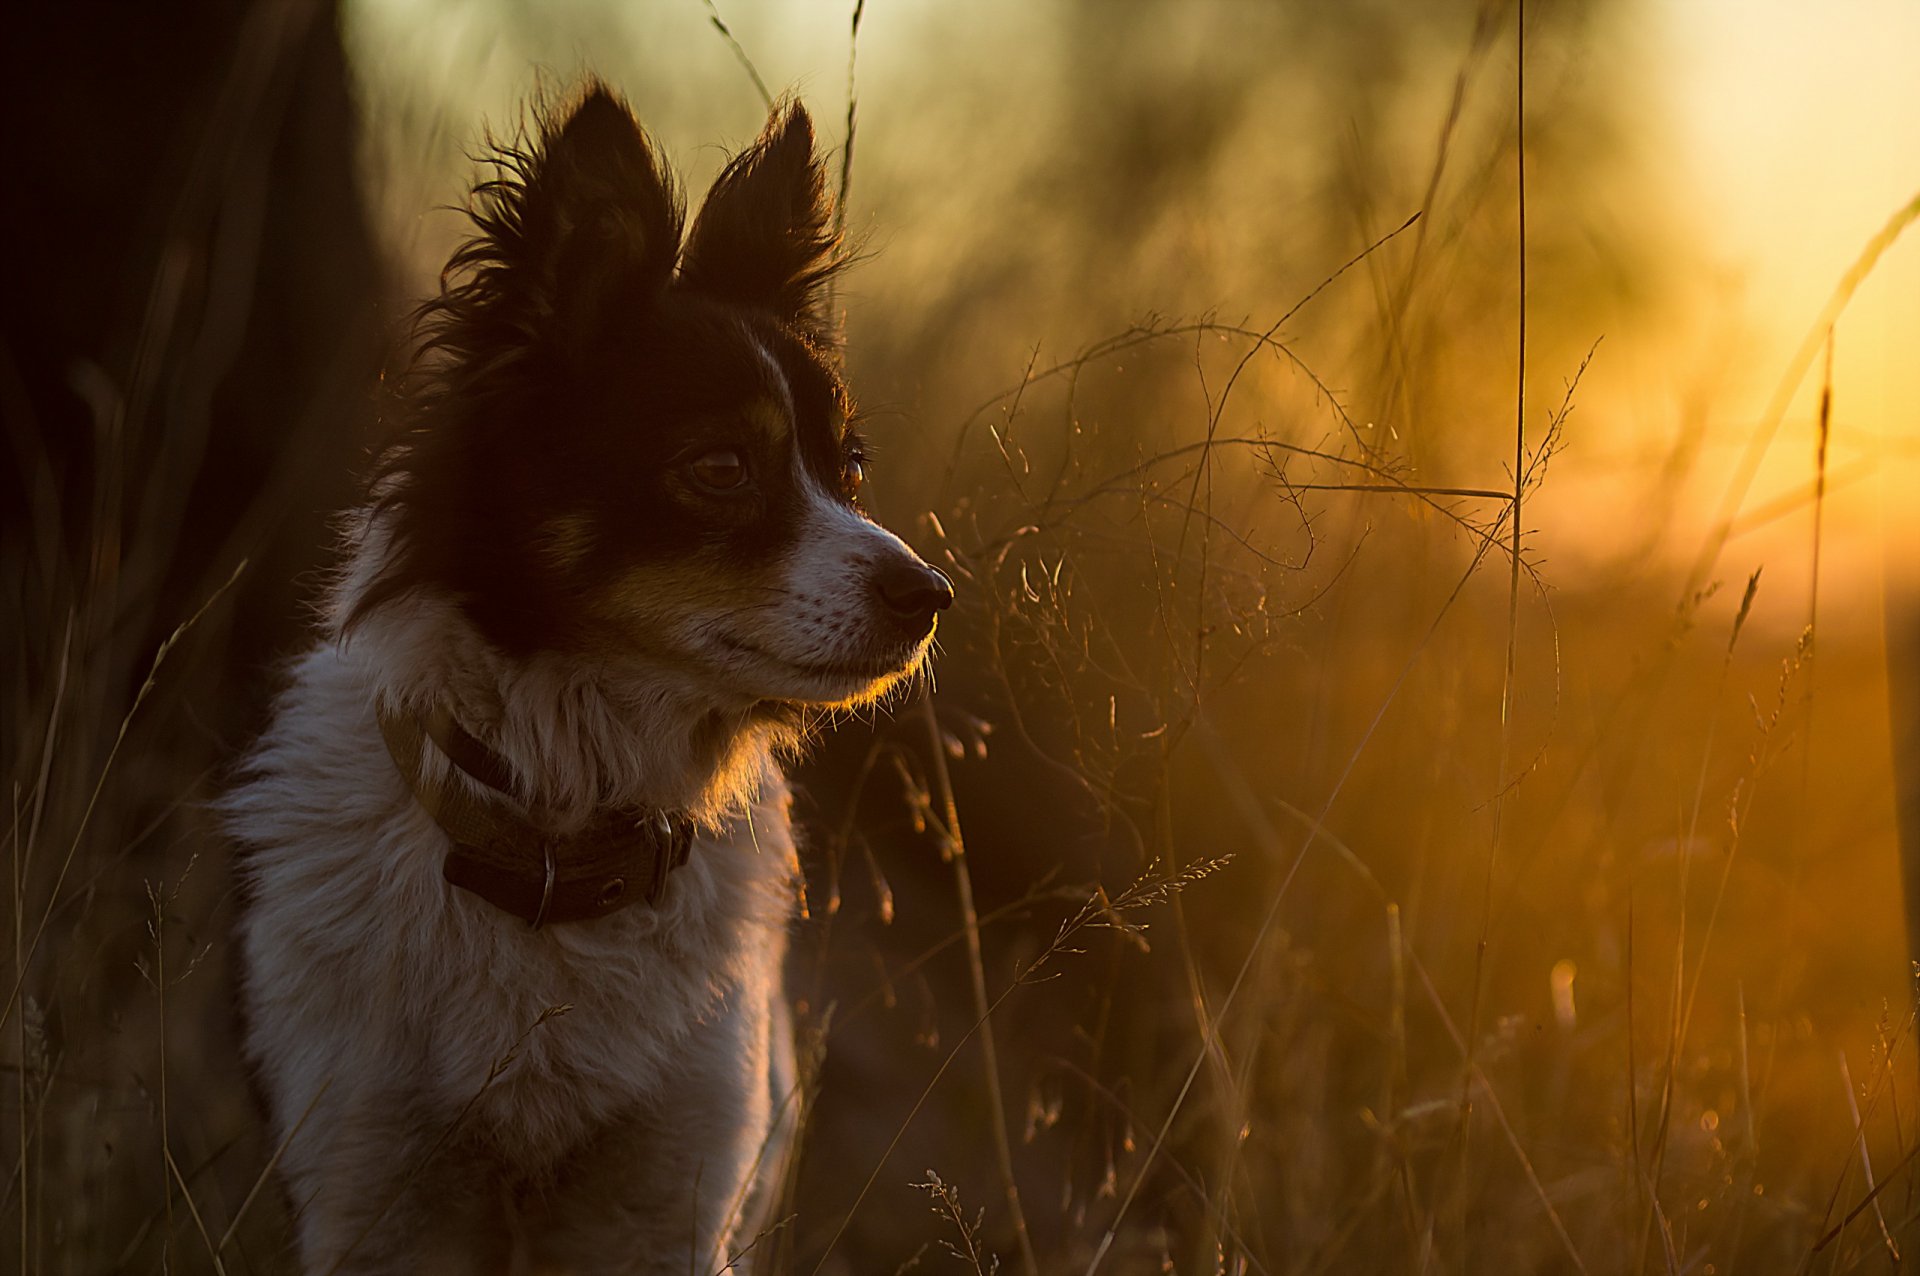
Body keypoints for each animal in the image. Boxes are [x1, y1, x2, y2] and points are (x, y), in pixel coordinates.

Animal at [224, 84, 952, 1266]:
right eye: (720, 468)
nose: (932, 595)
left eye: (847, 468)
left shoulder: (666, 1196)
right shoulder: (369, 1181)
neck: (558, 850)